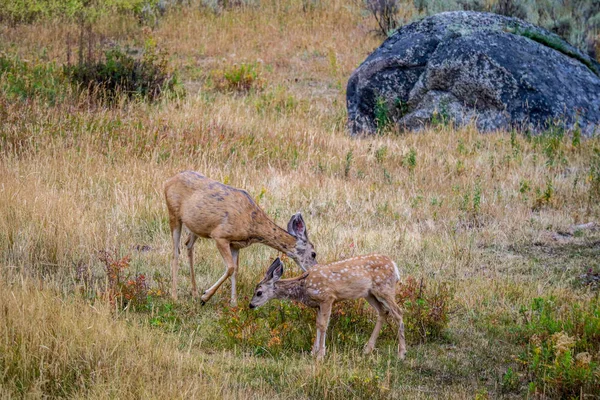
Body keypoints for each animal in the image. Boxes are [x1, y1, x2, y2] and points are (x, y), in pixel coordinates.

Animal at [162, 170, 316, 304]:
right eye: (314, 254)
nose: (313, 270)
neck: (252, 224)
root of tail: (168, 181)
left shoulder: (236, 244)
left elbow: (235, 270)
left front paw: (233, 304)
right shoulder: (220, 235)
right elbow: (230, 268)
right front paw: (205, 296)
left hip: (195, 226)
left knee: (188, 245)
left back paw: (194, 292)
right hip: (173, 213)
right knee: (175, 252)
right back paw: (175, 296)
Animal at [248, 255, 408, 360]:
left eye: (259, 292)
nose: (251, 305)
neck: (304, 287)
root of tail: (394, 265)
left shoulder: (327, 297)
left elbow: (324, 325)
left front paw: (320, 355)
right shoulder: (318, 304)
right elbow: (318, 324)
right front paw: (313, 352)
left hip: (384, 288)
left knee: (398, 312)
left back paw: (401, 353)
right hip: (369, 293)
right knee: (383, 312)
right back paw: (367, 350)